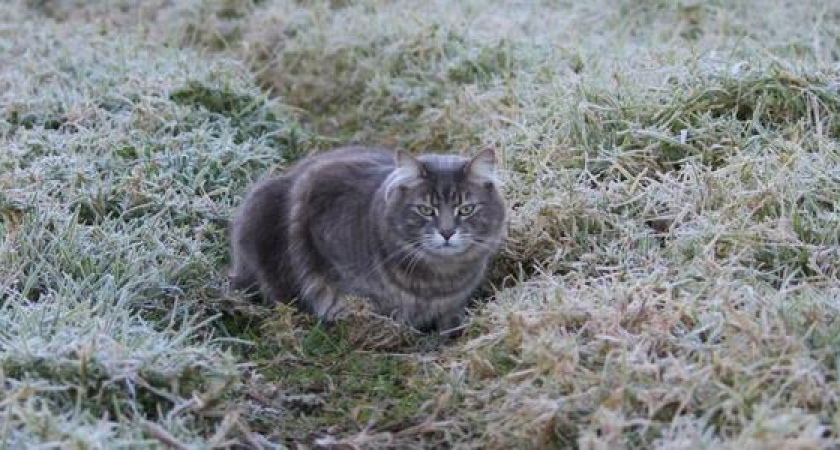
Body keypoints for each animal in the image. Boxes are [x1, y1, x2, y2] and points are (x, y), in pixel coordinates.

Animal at [228, 146, 506, 332]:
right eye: (426, 210)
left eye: (466, 209)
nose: (447, 232)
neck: (440, 278)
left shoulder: (453, 303)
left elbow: (449, 321)